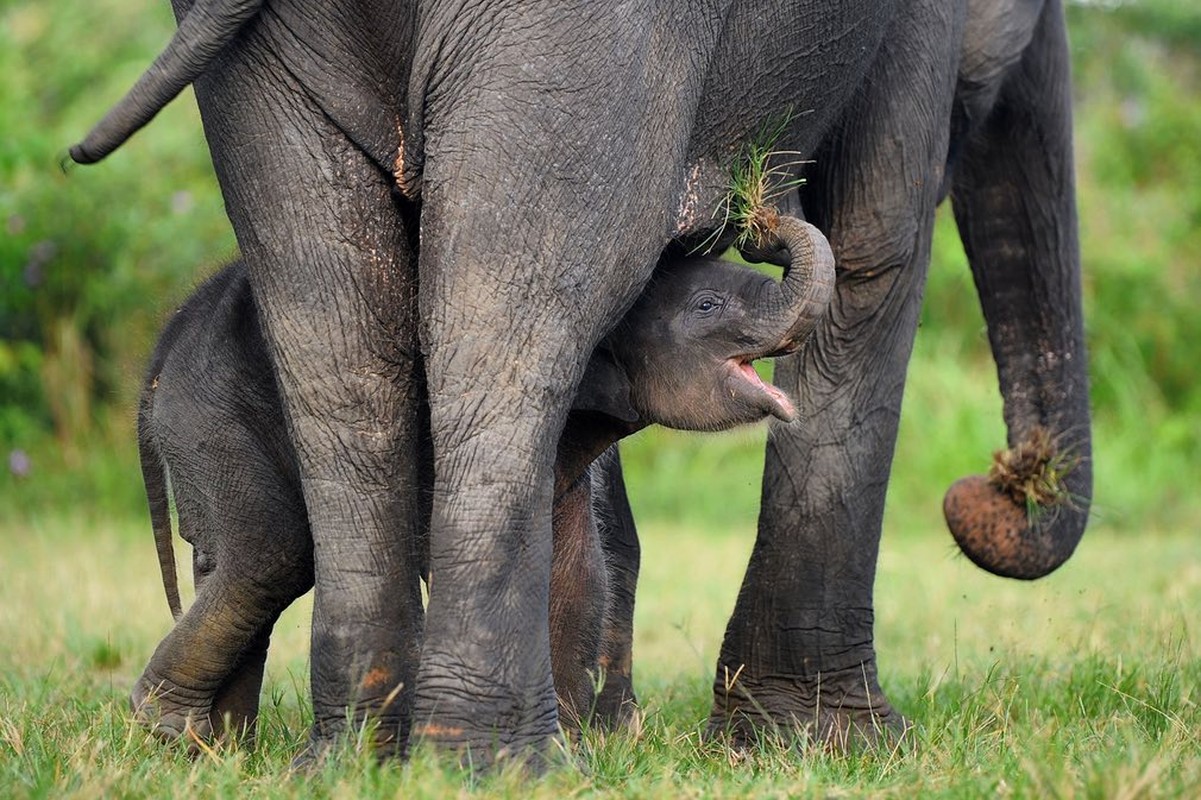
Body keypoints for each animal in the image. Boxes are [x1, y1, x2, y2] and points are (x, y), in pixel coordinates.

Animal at [131, 216, 826, 739]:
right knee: (270, 554)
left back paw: (221, 746)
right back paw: (169, 730)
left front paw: (569, 743)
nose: (760, 228)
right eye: (707, 306)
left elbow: (578, 566)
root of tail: (163, 347)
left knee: (232, 557)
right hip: (210, 414)